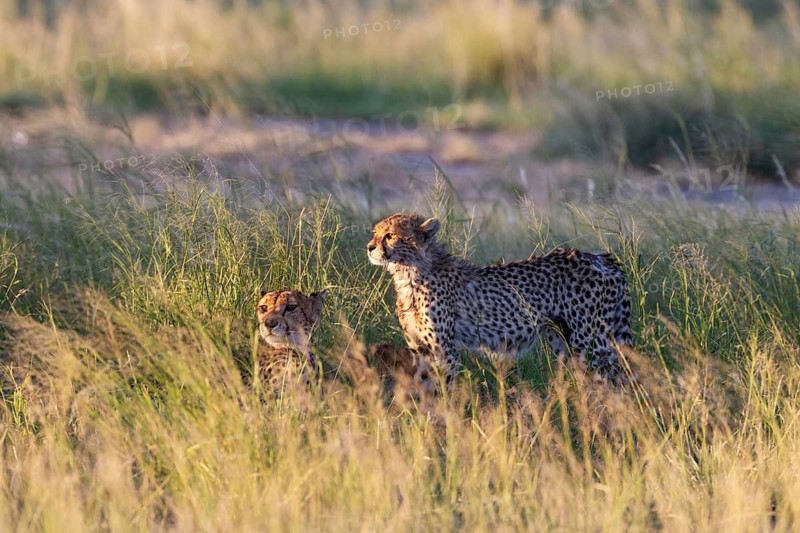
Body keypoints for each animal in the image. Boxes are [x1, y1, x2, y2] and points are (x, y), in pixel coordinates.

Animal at [367, 213, 633, 387]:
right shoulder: (420, 349)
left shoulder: (444, 352)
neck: (409, 274)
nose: (369, 247)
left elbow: (442, 390)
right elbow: (422, 388)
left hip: (590, 342)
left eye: (390, 235)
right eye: (376, 234)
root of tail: (600, 257)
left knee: (621, 377)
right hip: (564, 340)